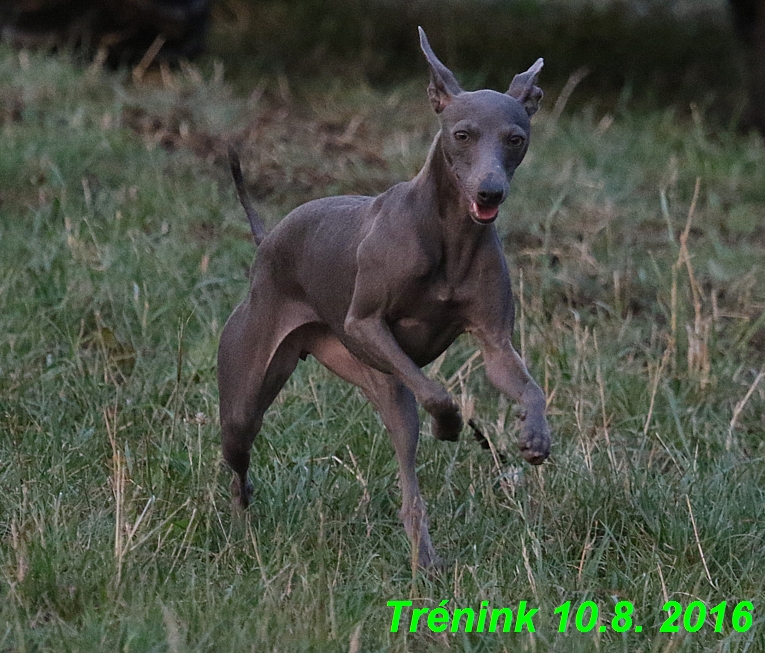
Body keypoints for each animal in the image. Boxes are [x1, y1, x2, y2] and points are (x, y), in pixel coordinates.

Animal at [219, 26, 548, 564]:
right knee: (239, 461)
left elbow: (521, 380)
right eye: (462, 135)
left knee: (408, 479)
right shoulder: (365, 325)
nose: (490, 192)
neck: (450, 236)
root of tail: (267, 241)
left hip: (376, 379)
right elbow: (437, 392)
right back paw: (241, 521)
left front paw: (535, 433)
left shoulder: (495, 342)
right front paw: (449, 424)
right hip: (252, 393)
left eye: (515, 139)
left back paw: (425, 560)